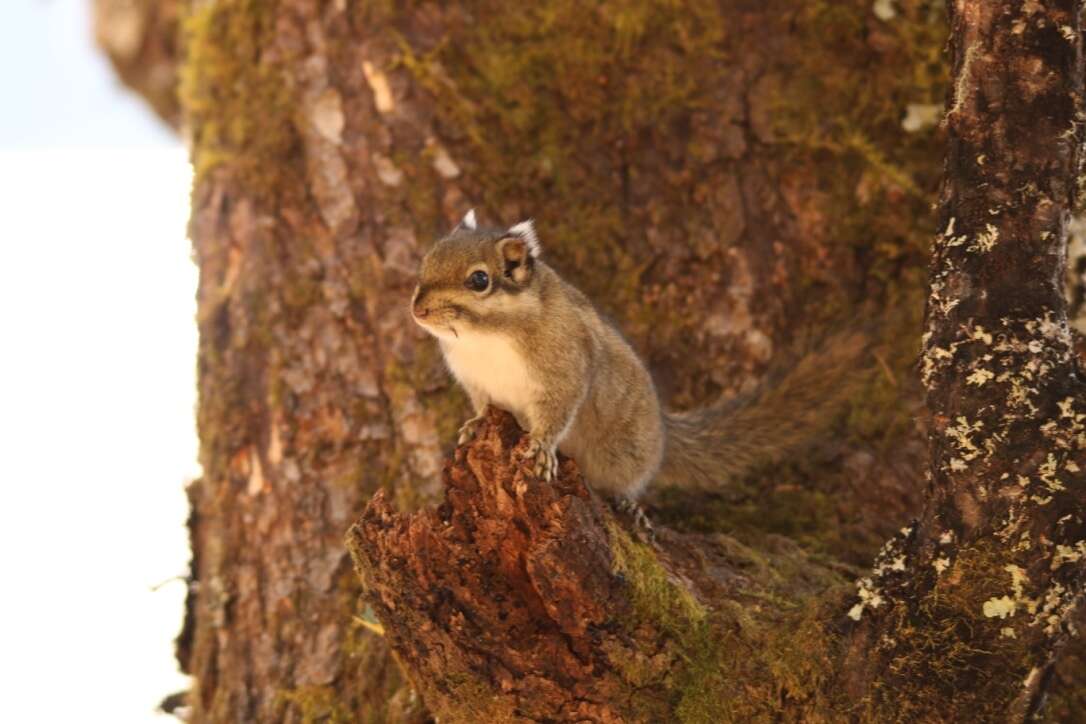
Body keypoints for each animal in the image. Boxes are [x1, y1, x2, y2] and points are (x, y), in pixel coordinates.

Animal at [410, 209, 868, 503]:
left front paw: (539, 448)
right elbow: (485, 406)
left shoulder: (563, 369)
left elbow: (557, 412)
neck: (484, 337)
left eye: (479, 280)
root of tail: (663, 431)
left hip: (623, 454)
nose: (417, 311)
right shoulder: (477, 381)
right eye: (428, 259)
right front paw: (475, 425)